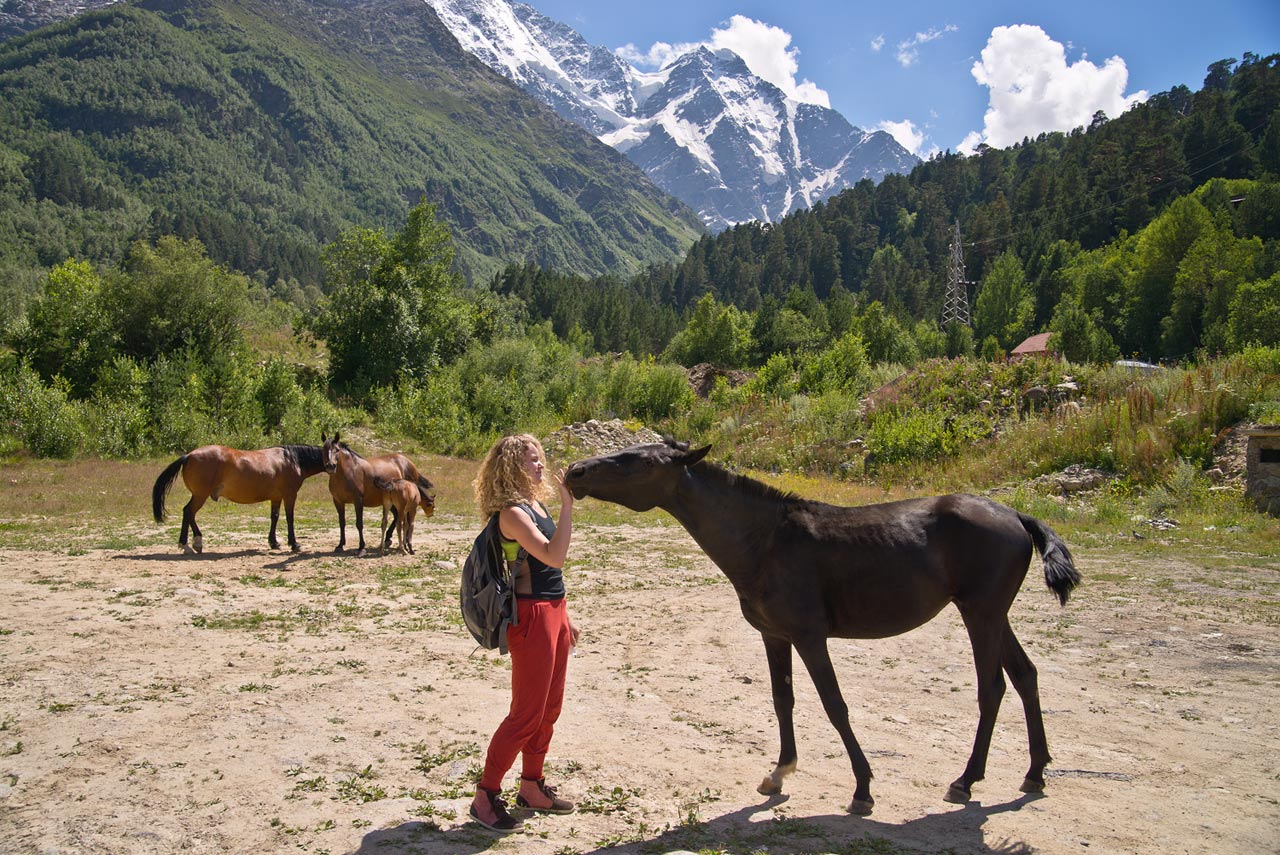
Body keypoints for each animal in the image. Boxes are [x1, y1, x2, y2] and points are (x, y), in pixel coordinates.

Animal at [152, 445, 327, 558]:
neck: (291, 459)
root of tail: (188, 456)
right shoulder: (289, 495)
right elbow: (290, 518)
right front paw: (294, 544)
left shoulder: (276, 497)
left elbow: (275, 517)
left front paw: (274, 542)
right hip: (200, 495)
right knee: (188, 512)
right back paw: (186, 546)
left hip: (199, 495)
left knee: (190, 514)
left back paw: (197, 543)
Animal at [565, 437, 1075, 819]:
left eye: (638, 461)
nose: (574, 472)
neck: (765, 541)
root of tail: (1015, 516)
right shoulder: (774, 636)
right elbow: (782, 700)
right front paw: (779, 772)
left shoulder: (810, 638)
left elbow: (834, 706)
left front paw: (863, 789)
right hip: (993, 617)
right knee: (1026, 676)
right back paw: (1034, 772)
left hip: (980, 617)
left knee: (992, 689)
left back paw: (965, 781)